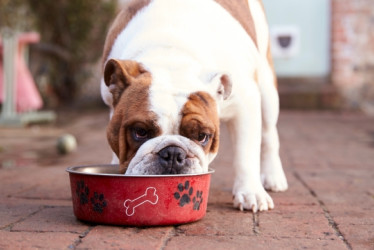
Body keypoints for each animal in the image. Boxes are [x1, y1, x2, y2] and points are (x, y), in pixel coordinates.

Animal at [101, 0, 288, 213]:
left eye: (202, 136)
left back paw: (273, 177)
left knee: (269, 134)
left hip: (267, 90)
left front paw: (250, 193)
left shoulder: (245, 104)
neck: (172, 57)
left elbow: (246, 154)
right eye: (140, 132)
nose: (173, 153)